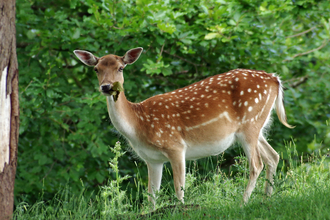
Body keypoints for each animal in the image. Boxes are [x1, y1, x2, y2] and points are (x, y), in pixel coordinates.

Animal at [73, 47, 292, 206]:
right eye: (96, 69)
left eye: (121, 67)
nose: (106, 87)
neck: (138, 125)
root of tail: (275, 79)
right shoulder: (152, 159)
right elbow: (151, 195)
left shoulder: (175, 146)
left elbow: (179, 189)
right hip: (256, 126)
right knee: (273, 156)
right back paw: (266, 200)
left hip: (250, 123)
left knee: (257, 164)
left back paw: (243, 203)